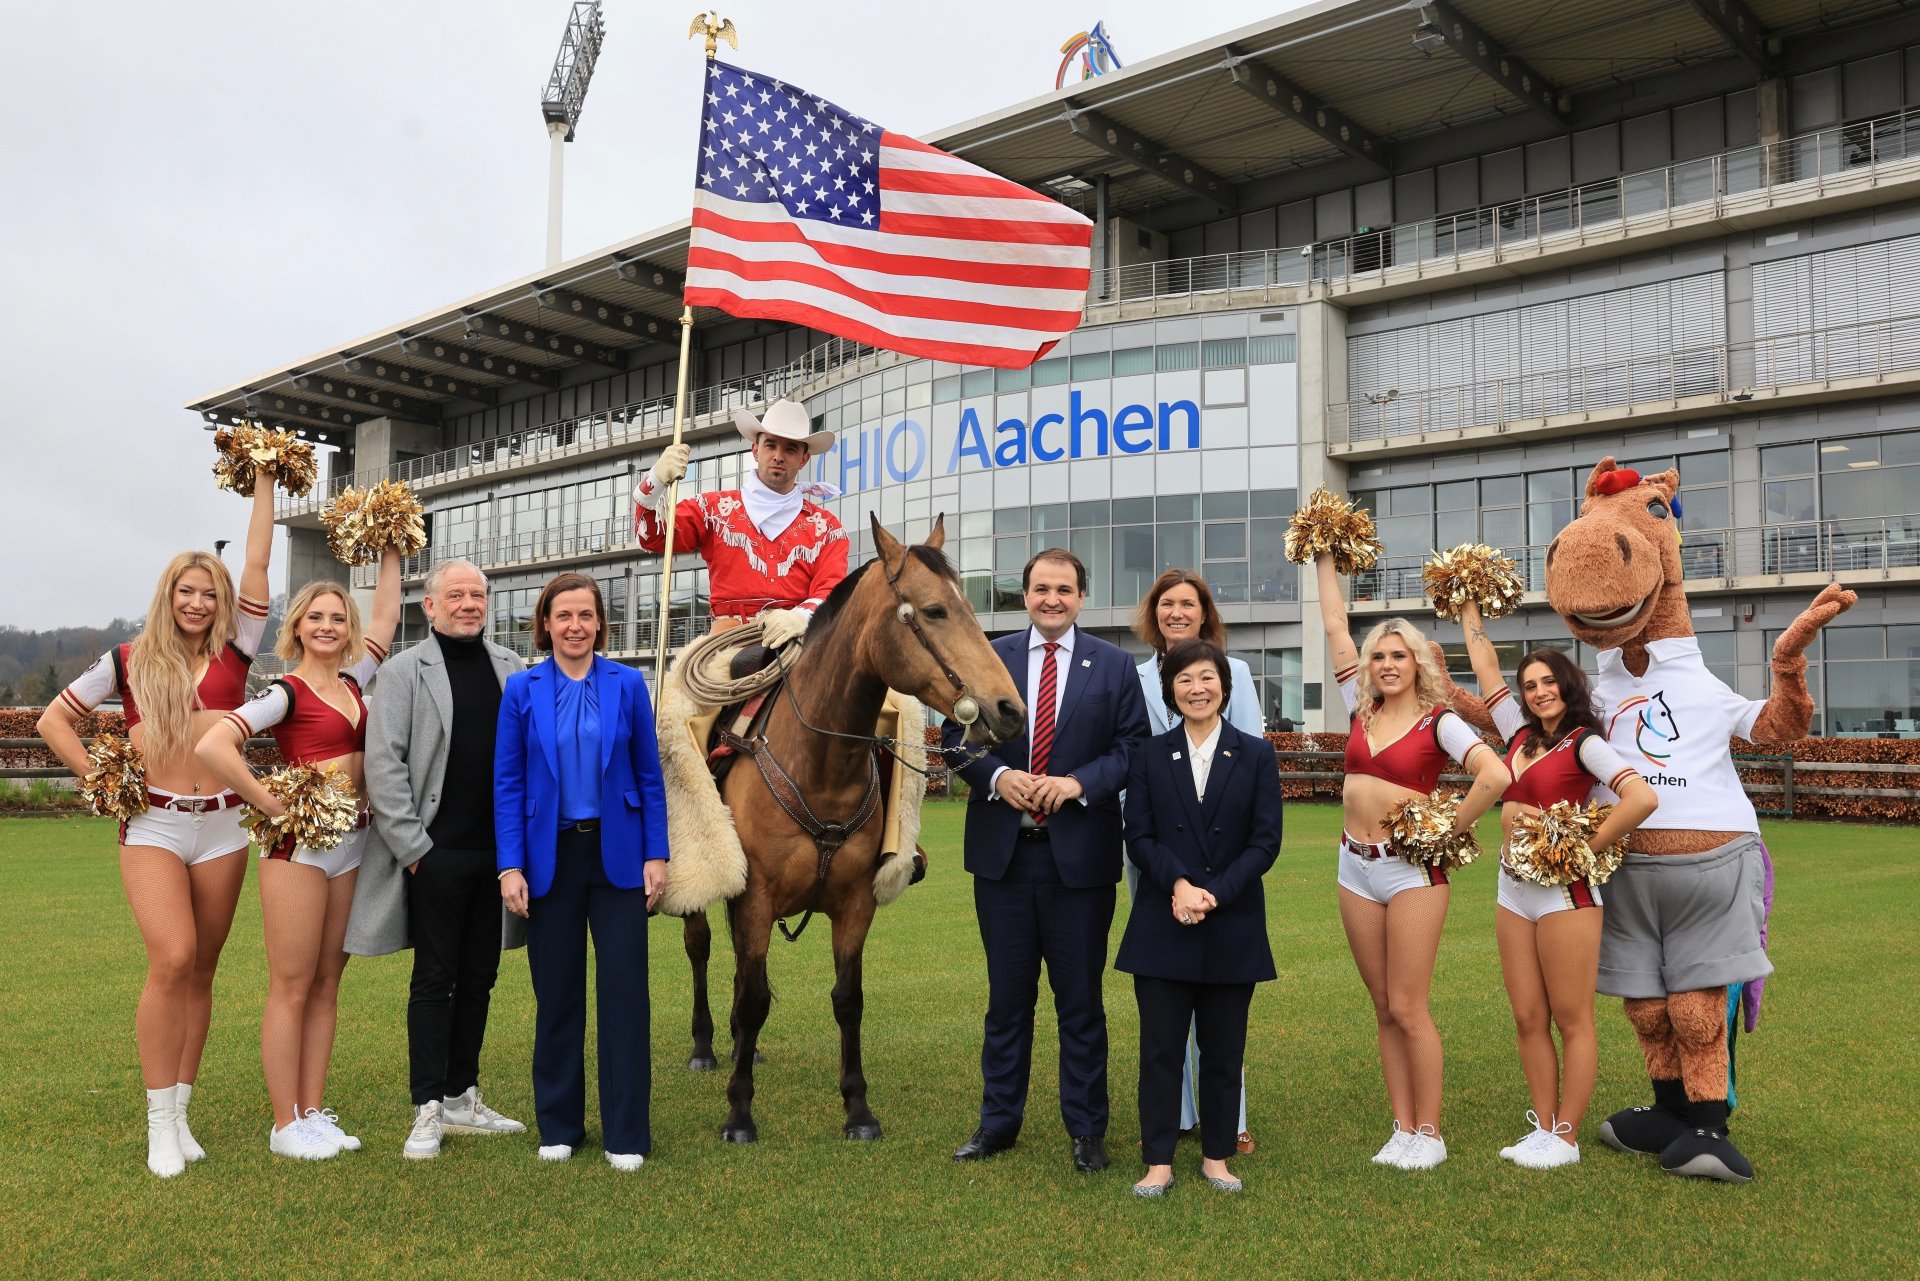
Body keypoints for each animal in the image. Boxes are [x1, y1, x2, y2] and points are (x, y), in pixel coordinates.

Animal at [687, 514, 1029, 1144]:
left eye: (971, 606)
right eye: (934, 610)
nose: (1009, 710)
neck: (820, 762)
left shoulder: (854, 904)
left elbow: (847, 999)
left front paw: (858, 1109)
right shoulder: (757, 897)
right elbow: (754, 1000)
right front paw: (740, 1113)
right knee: (700, 947)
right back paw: (704, 1046)